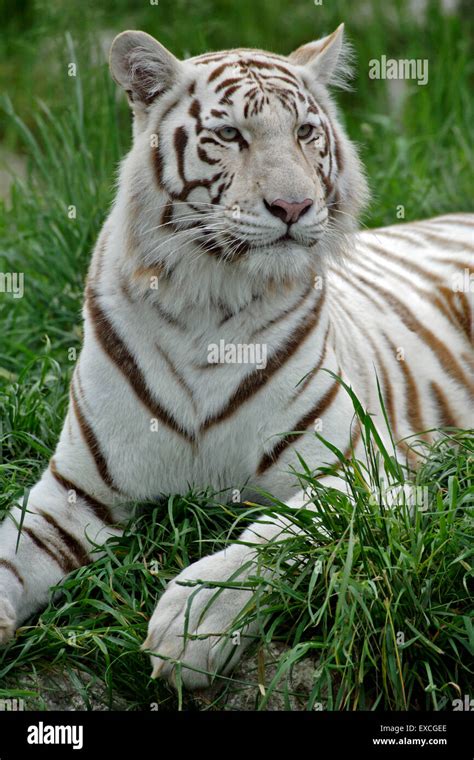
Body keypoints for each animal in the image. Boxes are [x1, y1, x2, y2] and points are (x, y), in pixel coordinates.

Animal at [0, 25, 474, 688]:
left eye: (305, 132)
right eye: (230, 136)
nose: (294, 207)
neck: (206, 307)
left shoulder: (368, 473)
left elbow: (278, 532)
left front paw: (191, 626)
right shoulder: (77, 491)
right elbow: (11, 554)